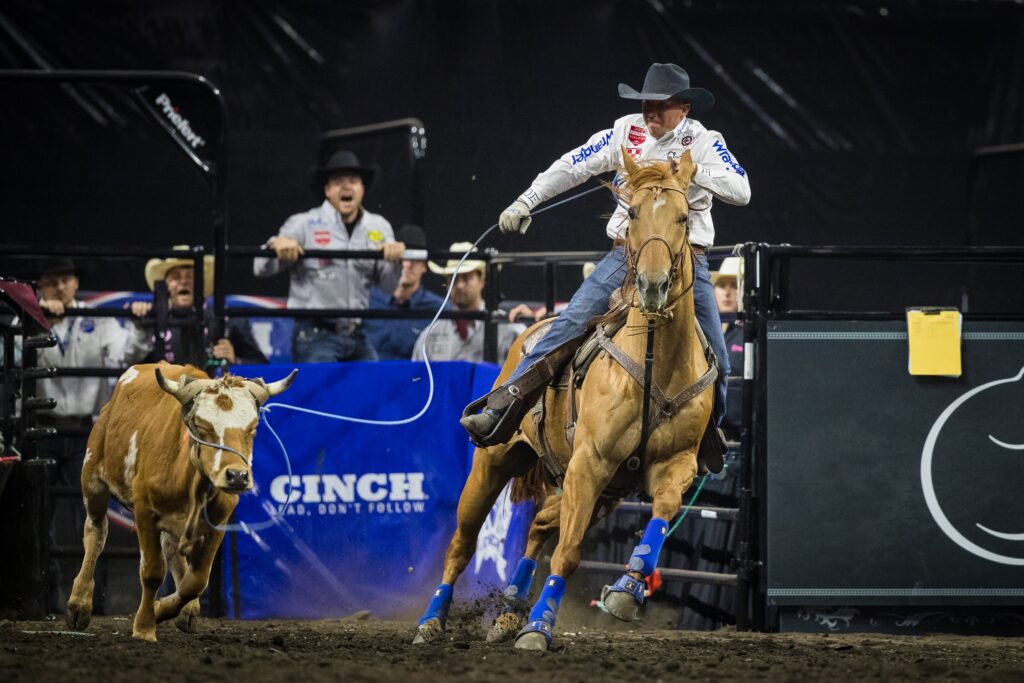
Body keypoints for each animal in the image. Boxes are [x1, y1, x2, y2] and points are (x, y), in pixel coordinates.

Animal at [413, 152, 712, 651]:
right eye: (632, 214)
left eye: (684, 217)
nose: (652, 286)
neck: (654, 360)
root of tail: (531, 329)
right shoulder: (590, 462)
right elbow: (568, 553)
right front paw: (538, 629)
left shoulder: (675, 463)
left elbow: (663, 513)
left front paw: (627, 589)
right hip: (493, 465)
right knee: (463, 543)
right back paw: (432, 620)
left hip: (602, 493)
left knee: (539, 524)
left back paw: (509, 610)